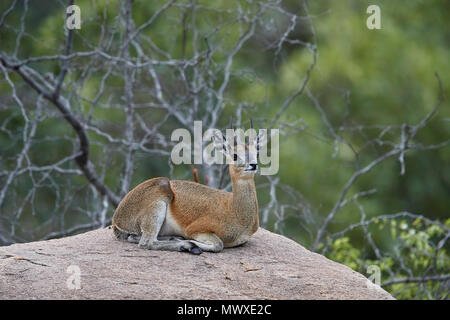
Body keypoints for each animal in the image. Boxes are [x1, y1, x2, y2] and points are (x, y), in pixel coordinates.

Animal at [112, 120, 266, 255]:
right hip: (158, 203)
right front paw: (194, 244)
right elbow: (218, 244)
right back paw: (188, 246)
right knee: (146, 242)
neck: (234, 209)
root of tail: (117, 218)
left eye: (257, 153)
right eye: (234, 155)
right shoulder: (195, 229)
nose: (253, 165)